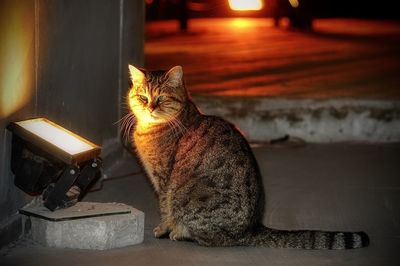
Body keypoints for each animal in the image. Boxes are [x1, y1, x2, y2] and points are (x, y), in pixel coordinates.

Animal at [127, 65, 368, 249]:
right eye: (142, 97)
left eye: (161, 98)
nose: (149, 107)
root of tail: (252, 228)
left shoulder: (164, 182)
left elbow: (165, 209)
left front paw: (163, 229)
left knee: (214, 239)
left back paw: (181, 233)